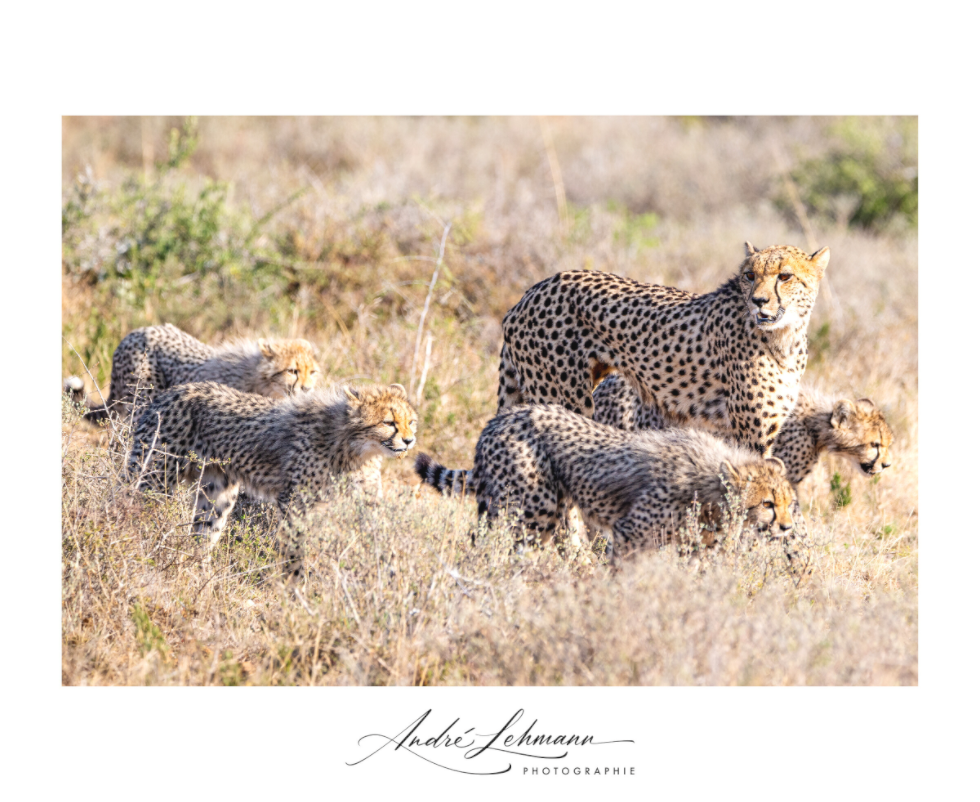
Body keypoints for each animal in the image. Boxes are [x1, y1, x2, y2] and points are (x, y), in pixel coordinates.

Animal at [127, 381, 418, 578]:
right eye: (389, 422)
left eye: (411, 421)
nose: (409, 440)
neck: (353, 447)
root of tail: (170, 392)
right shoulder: (295, 502)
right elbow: (295, 548)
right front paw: (295, 586)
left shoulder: (368, 501)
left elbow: (382, 534)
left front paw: (392, 577)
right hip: (154, 476)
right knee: (130, 509)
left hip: (219, 492)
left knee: (203, 534)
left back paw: (201, 574)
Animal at [414, 404, 796, 555]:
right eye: (767, 504)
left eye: (789, 503)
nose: (787, 527)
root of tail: (504, 416)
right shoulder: (629, 533)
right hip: (533, 506)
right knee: (503, 543)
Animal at [496, 242, 830, 458]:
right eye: (750, 276)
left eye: (785, 276)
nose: (758, 301)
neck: (785, 337)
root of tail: (531, 291)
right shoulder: (751, 434)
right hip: (563, 398)